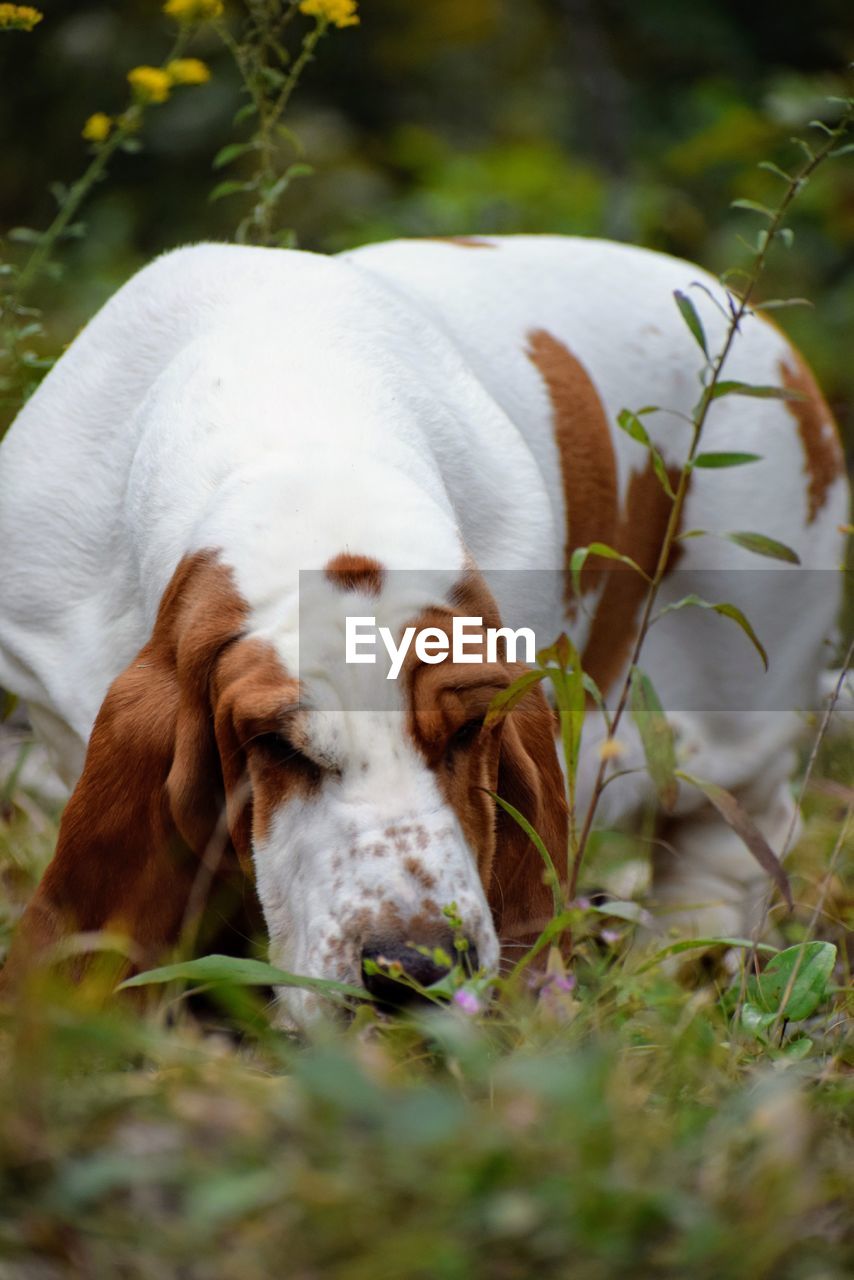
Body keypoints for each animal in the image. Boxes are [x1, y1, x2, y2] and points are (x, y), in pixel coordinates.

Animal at [0, 235, 850, 1024]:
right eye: (275, 745)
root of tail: (762, 332)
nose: (414, 970)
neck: (304, 436)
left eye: (470, 730)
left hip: (742, 697)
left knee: (728, 835)